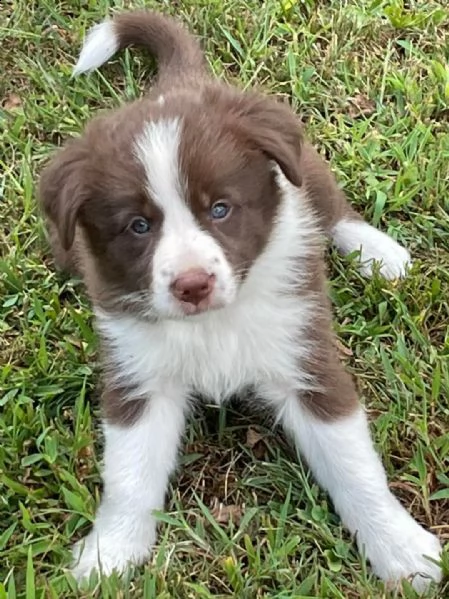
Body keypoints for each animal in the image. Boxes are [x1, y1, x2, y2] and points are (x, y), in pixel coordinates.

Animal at [38, 9, 440, 592]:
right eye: (138, 226)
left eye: (221, 209)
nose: (192, 284)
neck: (214, 321)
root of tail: (181, 81)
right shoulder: (140, 375)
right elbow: (130, 474)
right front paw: (110, 556)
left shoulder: (306, 357)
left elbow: (354, 463)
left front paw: (402, 549)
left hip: (302, 166)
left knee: (331, 208)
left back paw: (377, 251)